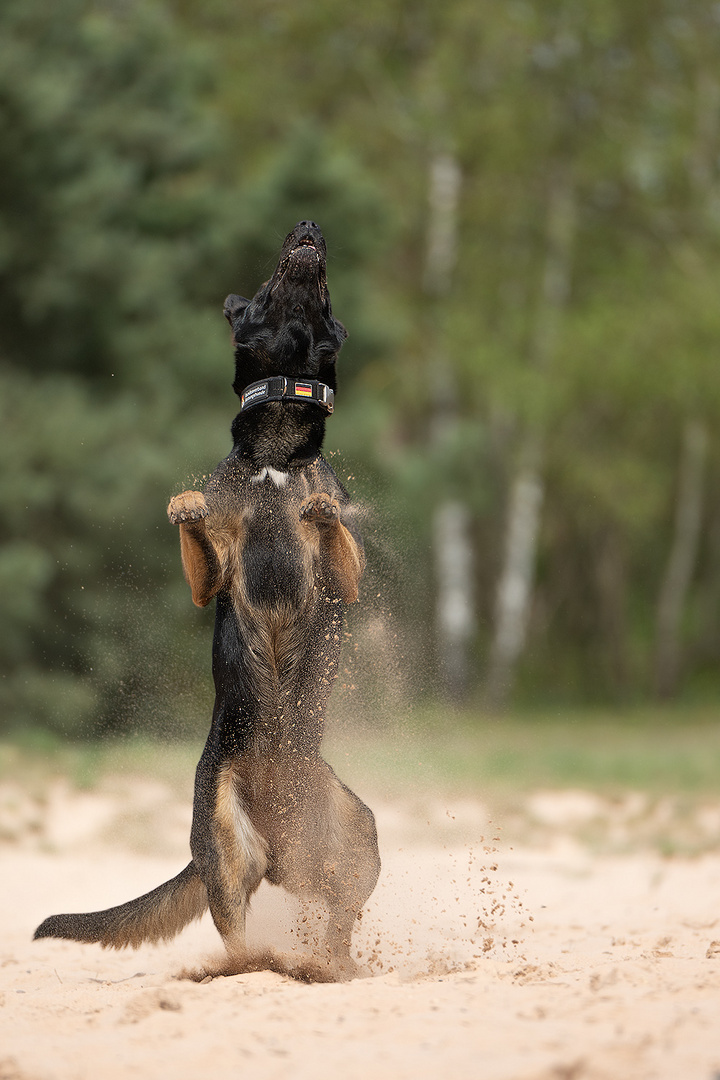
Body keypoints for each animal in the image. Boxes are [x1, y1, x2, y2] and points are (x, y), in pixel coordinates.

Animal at [32, 223, 382, 984]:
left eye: (324, 294)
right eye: (266, 287)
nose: (307, 228)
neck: (277, 445)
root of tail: (283, 853)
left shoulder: (344, 577)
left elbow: (332, 525)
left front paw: (317, 511)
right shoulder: (209, 577)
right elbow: (199, 530)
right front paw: (186, 505)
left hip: (357, 839)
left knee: (337, 920)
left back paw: (329, 967)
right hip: (224, 848)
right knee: (240, 940)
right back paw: (254, 966)